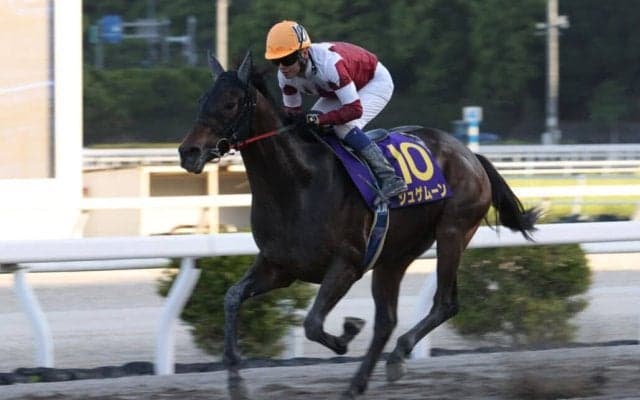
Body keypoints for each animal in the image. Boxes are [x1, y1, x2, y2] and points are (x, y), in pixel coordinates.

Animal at [178, 51, 538, 399]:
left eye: (230, 103)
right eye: (201, 99)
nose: (188, 152)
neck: (298, 183)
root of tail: (471, 155)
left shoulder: (347, 263)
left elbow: (313, 323)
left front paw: (347, 333)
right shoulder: (279, 267)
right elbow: (232, 298)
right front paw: (235, 380)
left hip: (452, 233)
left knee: (444, 303)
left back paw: (397, 356)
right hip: (395, 256)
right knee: (387, 321)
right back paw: (361, 381)